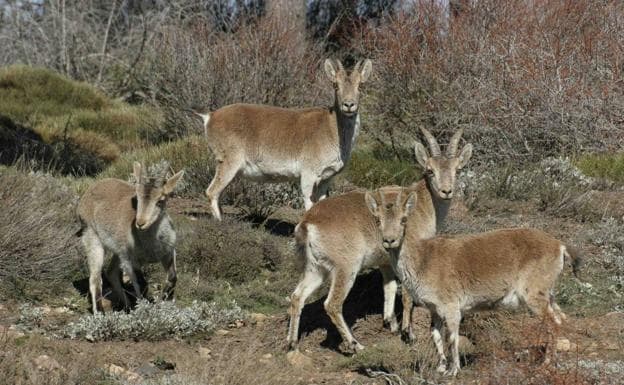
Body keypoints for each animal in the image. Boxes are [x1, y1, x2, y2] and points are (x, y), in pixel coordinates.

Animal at [77, 162, 183, 312]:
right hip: (92, 238)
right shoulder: (131, 260)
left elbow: (173, 277)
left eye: (160, 200)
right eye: (137, 198)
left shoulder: (168, 252)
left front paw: (165, 305)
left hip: (118, 250)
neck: (151, 246)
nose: (140, 223)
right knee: (95, 279)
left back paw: (127, 306)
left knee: (111, 272)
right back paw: (101, 313)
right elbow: (142, 284)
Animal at [194, 57, 370, 219]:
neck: (331, 130)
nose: (349, 105)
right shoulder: (309, 174)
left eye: (360, 85)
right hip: (228, 162)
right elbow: (309, 204)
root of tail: (210, 116)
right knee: (211, 191)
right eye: (335, 85)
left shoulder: (326, 178)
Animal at [288, 128, 472, 352]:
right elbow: (407, 296)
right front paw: (408, 334)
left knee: (297, 297)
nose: (446, 191)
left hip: (315, 267)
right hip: (345, 267)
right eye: (430, 170)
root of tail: (308, 223)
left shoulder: (386, 263)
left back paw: (292, 343)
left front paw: (390, 324)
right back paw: (355, 344)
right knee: (332, 304)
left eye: (457, 169)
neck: (422, 205)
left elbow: (389, 288)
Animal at [364, 186, 584, 376]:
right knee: (560, 317)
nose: (389, 240)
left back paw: (545, 364)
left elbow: (452, 337)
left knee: (552, 323)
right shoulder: (434, 309)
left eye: (403, 219)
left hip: (534, 294)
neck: (423, 261)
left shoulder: (451, 306)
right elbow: (435, 335)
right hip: (548, 293)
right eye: (378, 220)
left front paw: (454, 370)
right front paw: (441, 368)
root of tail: (560, 247)